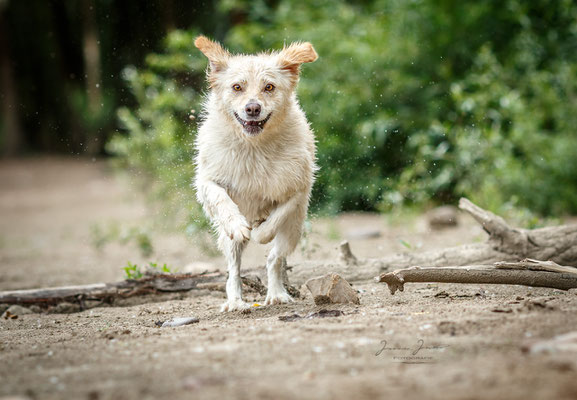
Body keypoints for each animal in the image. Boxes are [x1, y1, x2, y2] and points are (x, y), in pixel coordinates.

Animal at [194, 36, 320, 312]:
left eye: (269, 87)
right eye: (237, 87)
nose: (252, 108)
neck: (253, 147)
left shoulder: (299, 188)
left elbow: (278, 215)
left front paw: (261, 231)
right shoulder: (207, 181)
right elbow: (221, 199)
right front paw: (239, 224)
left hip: (292, 231)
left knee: (274, 259)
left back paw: (276, 293)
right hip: (229, 244)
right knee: (233, 270)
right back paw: (235, 301)